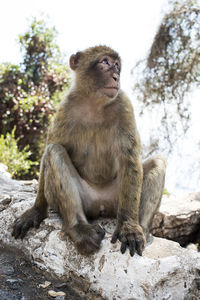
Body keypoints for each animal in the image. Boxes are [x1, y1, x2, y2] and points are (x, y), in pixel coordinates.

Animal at [11, 45, 166, 256]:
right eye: (105, 62)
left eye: (117, 65)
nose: (116, 76)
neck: (94, 102)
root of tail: (101, 205)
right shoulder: (65, 108)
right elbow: (49, 151)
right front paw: (36, 211)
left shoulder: (124, 105)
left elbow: (130, 160)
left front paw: (129, 228)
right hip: (87, 201)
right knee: (54, 151)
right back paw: (79, 227)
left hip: (116, 198)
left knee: (157, 162)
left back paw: (140, 227)